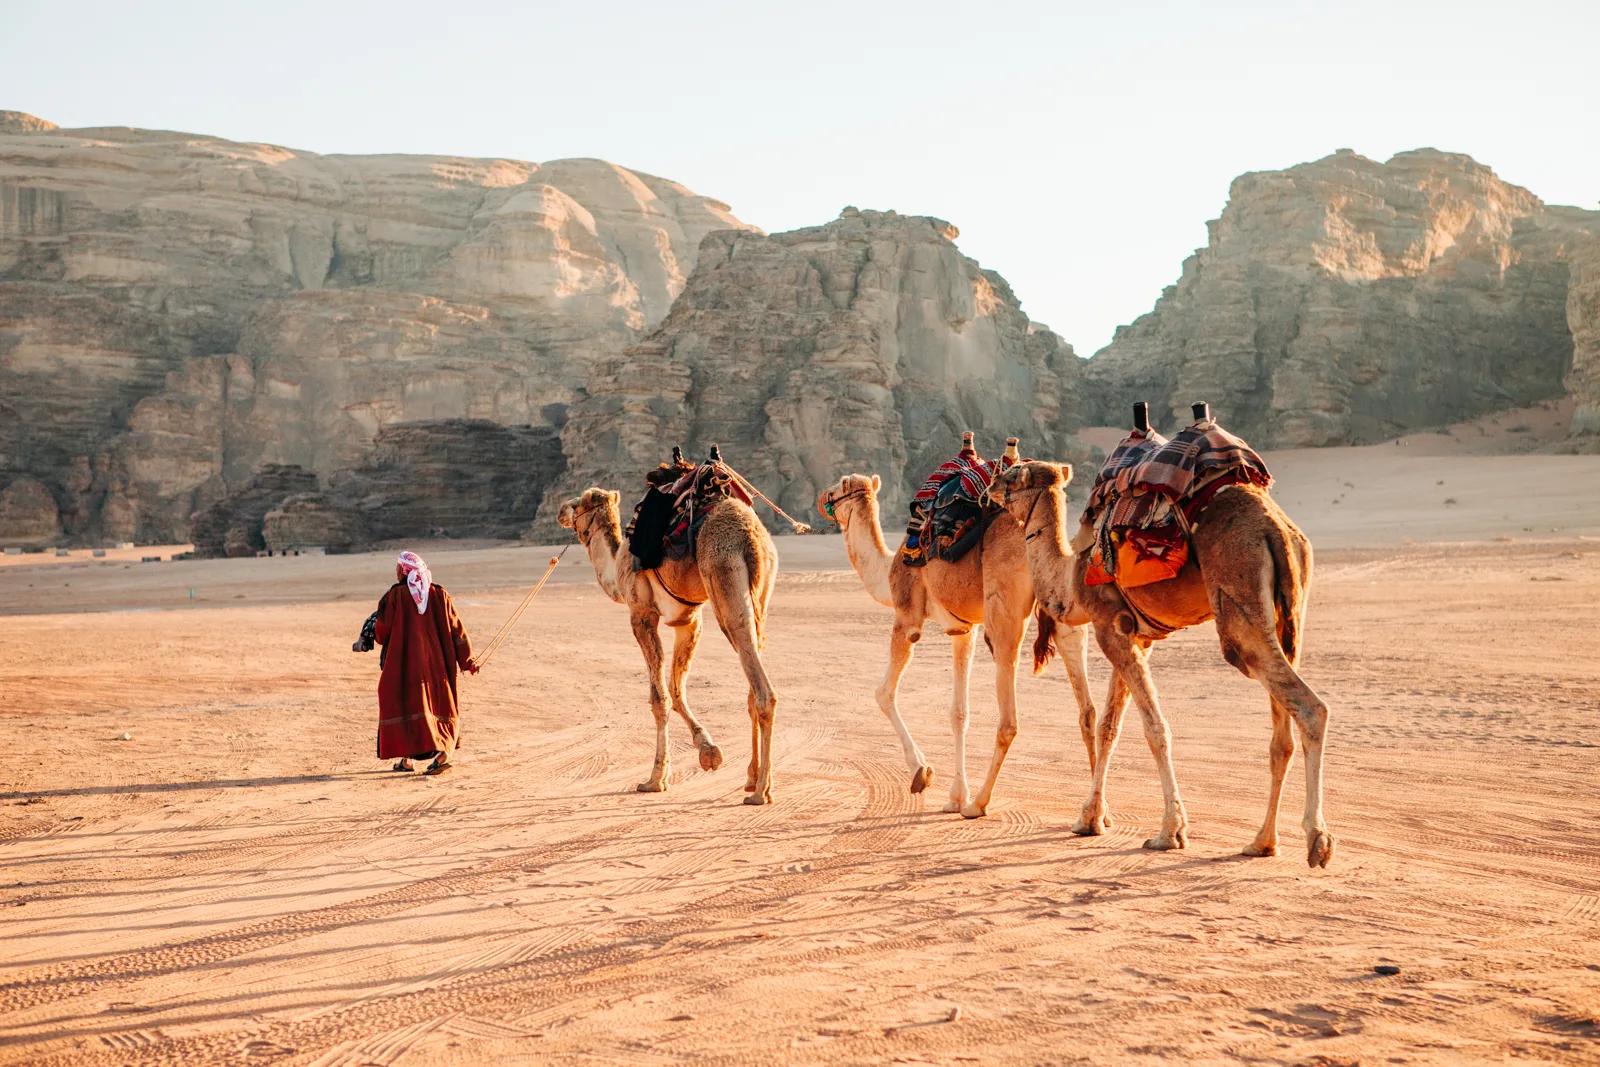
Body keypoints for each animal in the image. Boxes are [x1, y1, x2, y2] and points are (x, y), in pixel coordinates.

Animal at [557, 487, 780, 803]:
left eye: (578, 504)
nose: (560, 510)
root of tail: (752, 539)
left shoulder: (641, 614)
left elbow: (659, 698)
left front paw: (655, 779)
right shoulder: (688, 620)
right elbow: (677, 691)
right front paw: (708, 753)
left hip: (724, 578)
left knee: (762, 690)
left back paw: (761, 791)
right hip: (762, 593)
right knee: (752, 683)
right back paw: (752, 778)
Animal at [815, 473, 1099, 818]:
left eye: (839, 487)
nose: (823, 497)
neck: (887, 569)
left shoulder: (907, 617)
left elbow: (884, 693)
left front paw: (922, 773)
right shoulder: (962, 630)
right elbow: (959, 712)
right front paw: (955, 796)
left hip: (1005, 612)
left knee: (1009, 720)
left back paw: (979, 804)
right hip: (1062, 608)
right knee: (1087, 709)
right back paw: (1095, 813)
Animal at [990, 460, 1335, 867]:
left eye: (1012, 475)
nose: (990, 486)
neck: (1071, 579)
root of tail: (1275, 529)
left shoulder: (1108, 627)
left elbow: (1155, 728)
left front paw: (1169, 832)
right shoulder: (1137, 635)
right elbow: (1109, 727)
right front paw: (1089, 819)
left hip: (1240, 600)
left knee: (1309, 707)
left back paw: (1317, 841)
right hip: (1288, 612)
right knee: (1282, 736)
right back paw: (1262, 842)